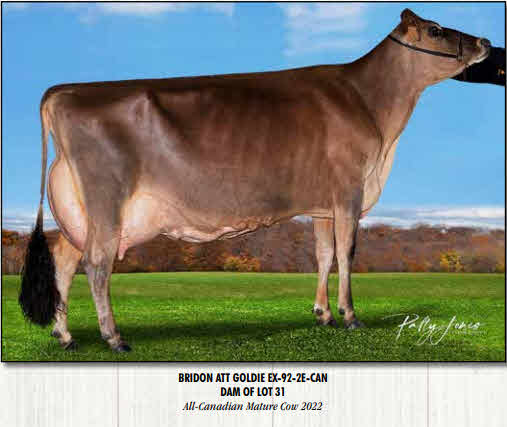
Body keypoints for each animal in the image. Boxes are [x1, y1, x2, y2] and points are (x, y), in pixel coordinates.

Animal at [19, 9, 491, 352]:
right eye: (435, 30)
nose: (485, 43)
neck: (373, 107)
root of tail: (64, 91)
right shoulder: (349, 191)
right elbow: (347, 253)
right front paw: (350, 316)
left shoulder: (323, 205)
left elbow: (323, 255)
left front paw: (322, 314)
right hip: (108, 199)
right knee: (96, 264)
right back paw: (113, 337)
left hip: (82, 211)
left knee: (64, 259)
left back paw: (65, 336)